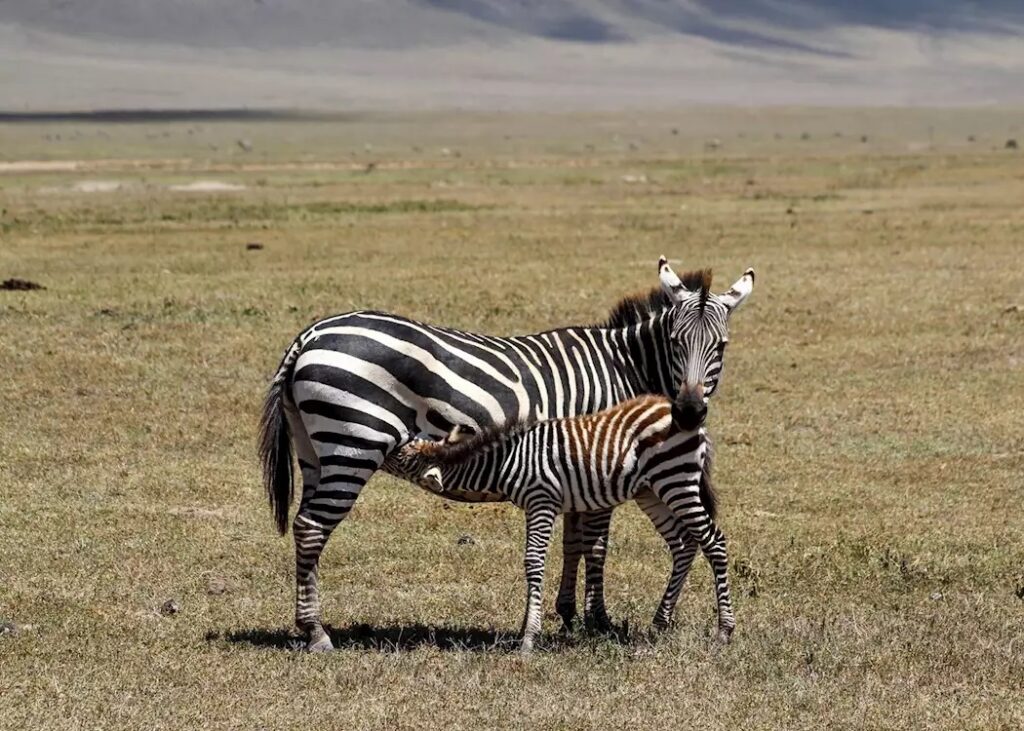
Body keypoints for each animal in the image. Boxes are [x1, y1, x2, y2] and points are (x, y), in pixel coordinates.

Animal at [390, 392, 730, 653]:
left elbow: (533, 562)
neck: (506, 462)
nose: (388, 441)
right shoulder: (540, 505)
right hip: (652, 491)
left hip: (676, 480)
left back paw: (724, 630)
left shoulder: (541, 501)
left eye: (401, 457)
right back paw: (659, 623)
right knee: (683, 545)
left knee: (714, 541)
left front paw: (528, 638)